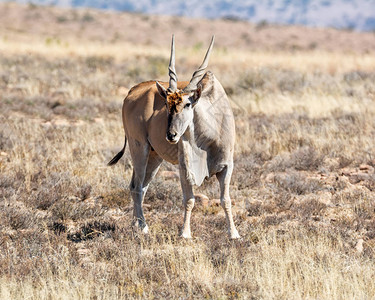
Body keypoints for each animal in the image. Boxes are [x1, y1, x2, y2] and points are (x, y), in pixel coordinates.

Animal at [108, 35, 241, 239]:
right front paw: (185, 233)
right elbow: (190, 199)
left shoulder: (226, 167)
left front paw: (233, 233)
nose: (171, 135)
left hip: (154, 156)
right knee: (136, 187)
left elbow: (225, 199)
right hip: (139, 149)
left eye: (187, 104)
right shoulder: (185, 168)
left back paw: (135, 224)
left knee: (140, 186)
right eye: (166, 104)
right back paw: (143, 227)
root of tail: (132, 92)